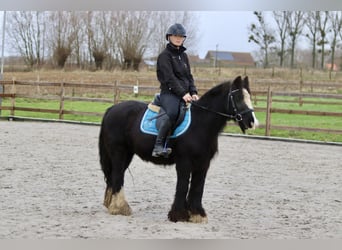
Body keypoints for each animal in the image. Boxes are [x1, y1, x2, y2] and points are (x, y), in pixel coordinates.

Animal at [97, 74, 258, 223]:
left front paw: (197, 214)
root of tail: (111, 109)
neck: (201, 123)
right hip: (119, 152)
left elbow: (198, 187)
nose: (252, 122)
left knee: (114, 176)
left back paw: (112, 205)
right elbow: (182, 186)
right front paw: (179, 215)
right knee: (117, 176)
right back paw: (120, 208)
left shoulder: (203, 164)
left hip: (127, 154)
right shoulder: (184, 162)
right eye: (238, 98)